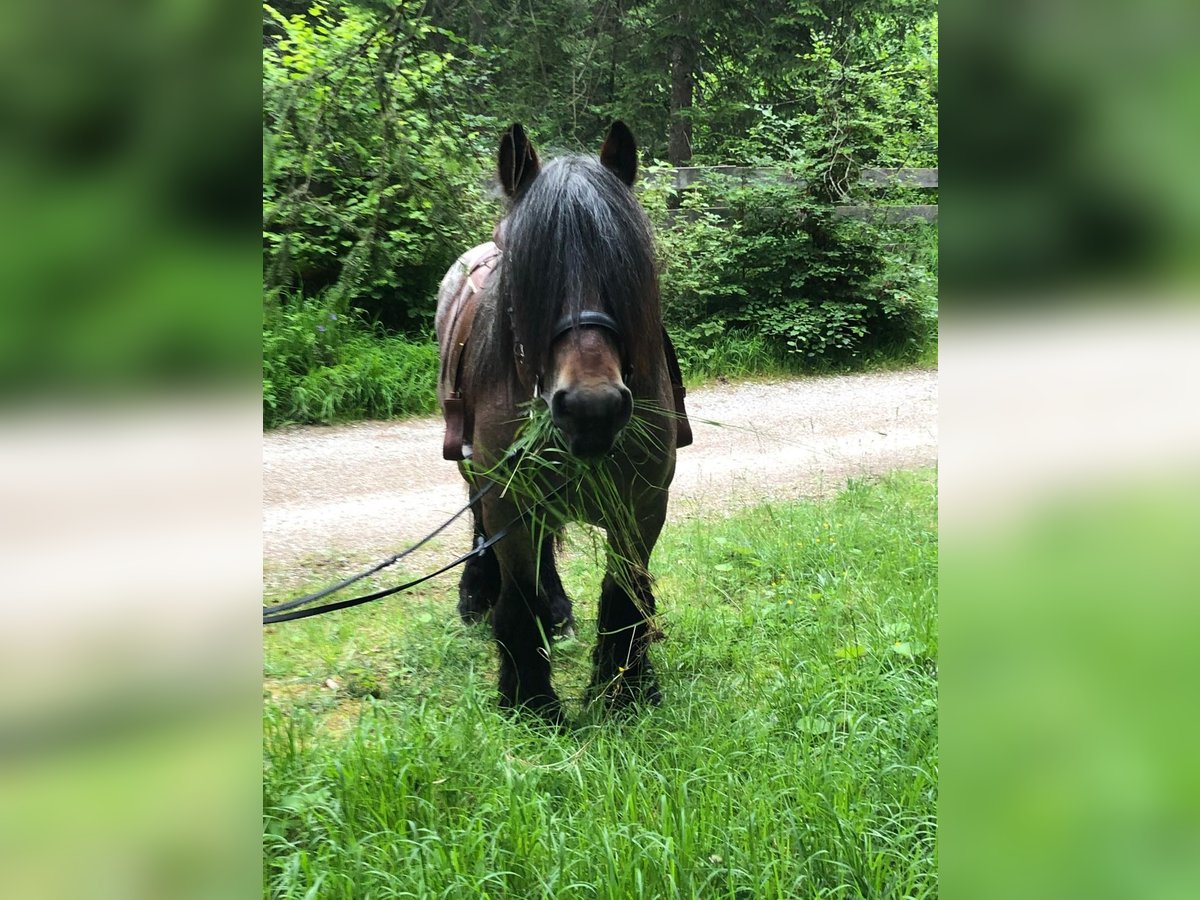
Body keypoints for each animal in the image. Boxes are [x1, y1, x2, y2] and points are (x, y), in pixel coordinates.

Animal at [439, 121, 686, 724]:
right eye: (530, 277)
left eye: (624, 269)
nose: (592, 408)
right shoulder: (509, 495)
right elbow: (518, 596)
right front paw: (529, 698)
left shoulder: (643, 503)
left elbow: (626, 594)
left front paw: (626, 687)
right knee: (482, 525)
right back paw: (481, 594)